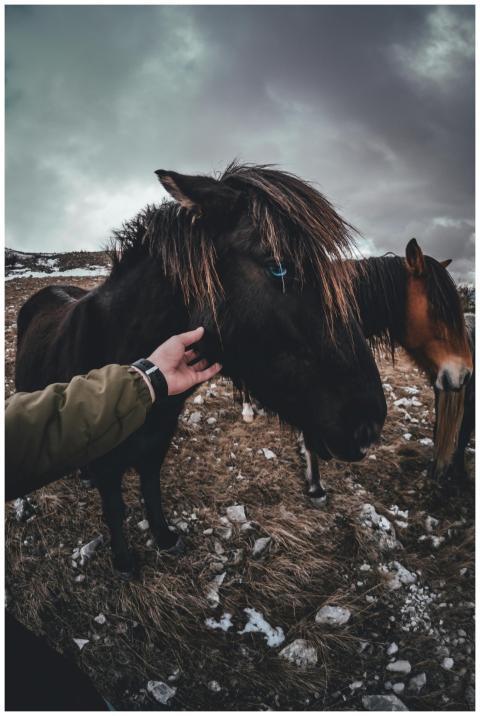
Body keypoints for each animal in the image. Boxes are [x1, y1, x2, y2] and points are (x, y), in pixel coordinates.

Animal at [15, 162, 387, 577]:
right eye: (277, 267)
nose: (370, 422)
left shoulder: (156, 443)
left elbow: (150, 488)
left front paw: (164, 537)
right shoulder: (111, 464)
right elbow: (115, 507)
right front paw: (125, 562)